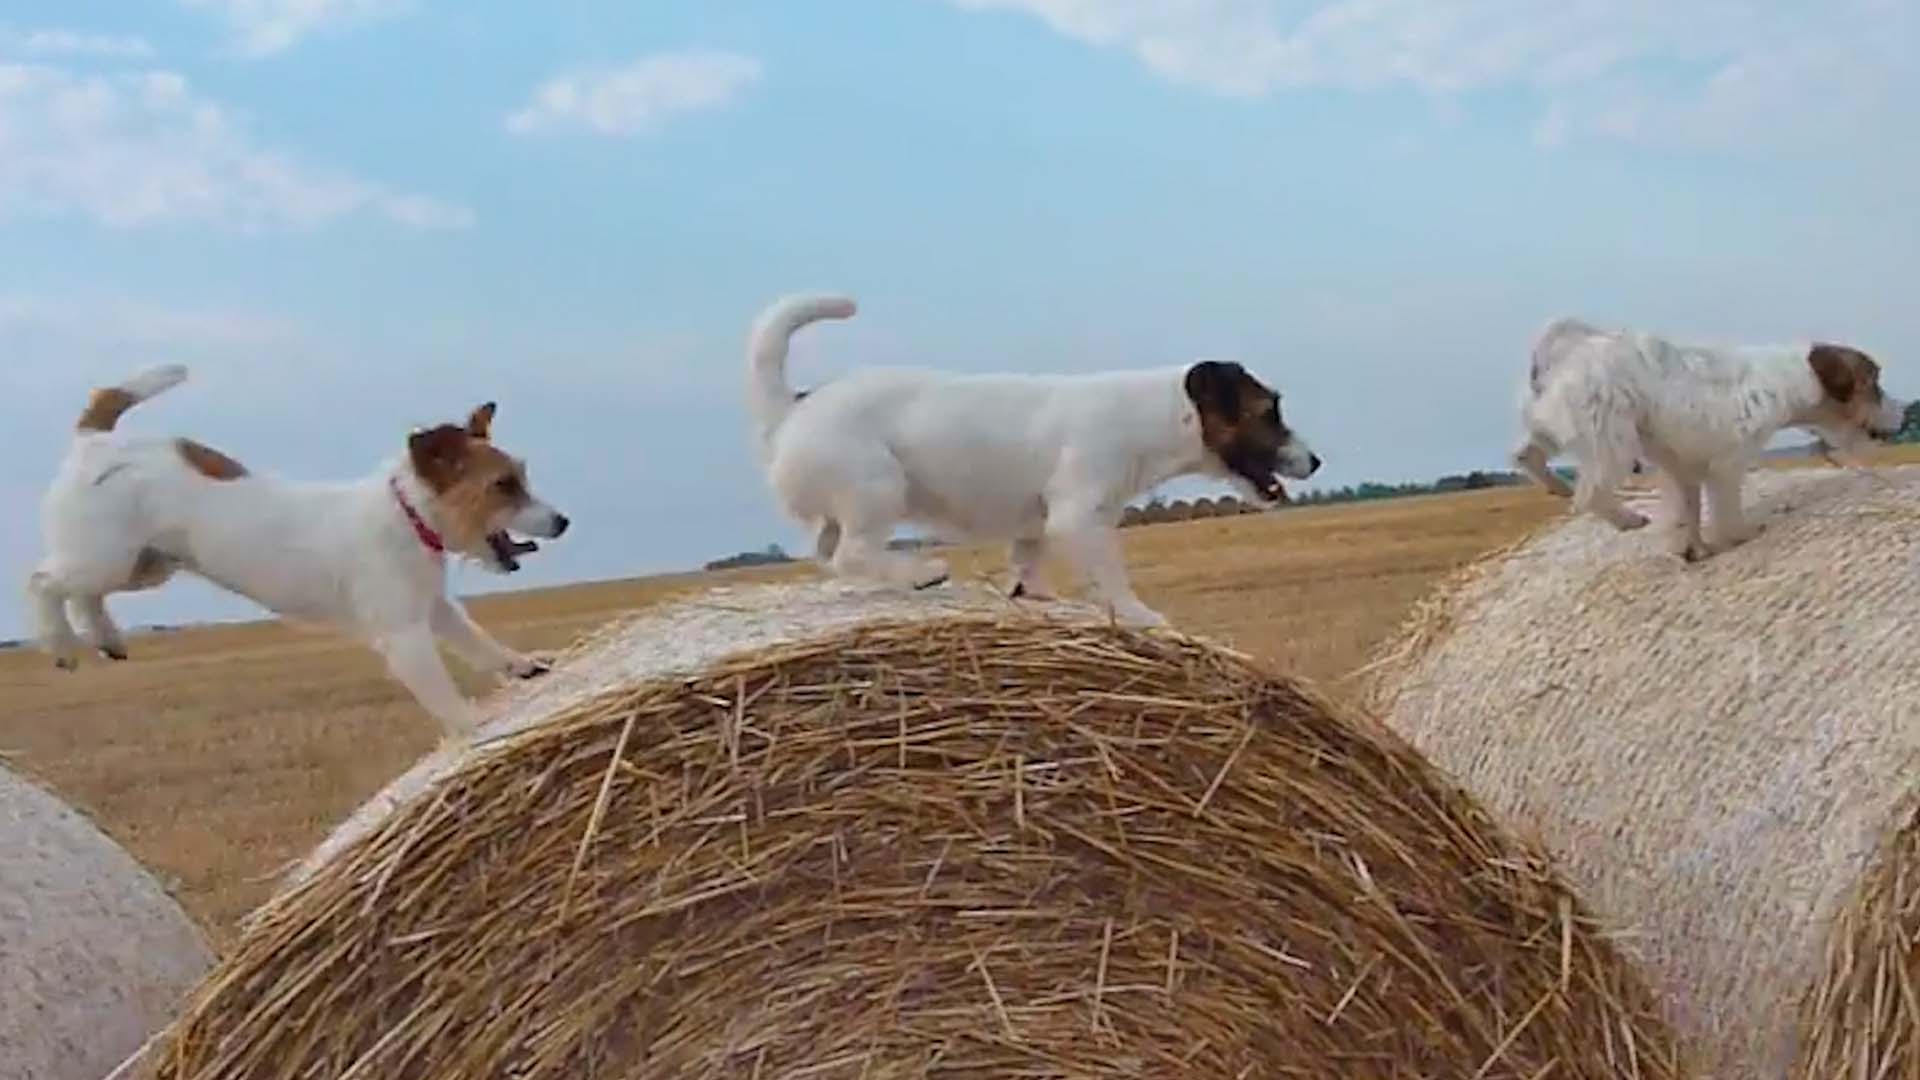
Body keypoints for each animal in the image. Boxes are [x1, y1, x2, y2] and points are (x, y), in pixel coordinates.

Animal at [28, 361, 568, 730]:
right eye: (503, 485)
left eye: (521, 476)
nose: (562, 522)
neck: (406, 516)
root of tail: (94, 440)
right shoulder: (404, 636)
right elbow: (442, 692)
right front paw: (472, 724)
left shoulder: (435, 609)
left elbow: (480, 644)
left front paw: (523, 666)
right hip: (108, 558)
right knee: (43, 581)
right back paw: (62, 645)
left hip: (142, 564)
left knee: (83, 593)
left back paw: (106, 637)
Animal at [744, 292, 1320, 622]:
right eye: (1269, 412)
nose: (1314, 462)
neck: (1156, 412)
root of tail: (793, 406)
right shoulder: (1079, 517)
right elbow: (1111, 576)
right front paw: (1138, 614)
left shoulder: (1036, 522)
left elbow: (1028, 560)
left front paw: (1037, 596)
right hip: (877, 487)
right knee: (851, 553)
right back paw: (919, 573)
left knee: (826, 552)